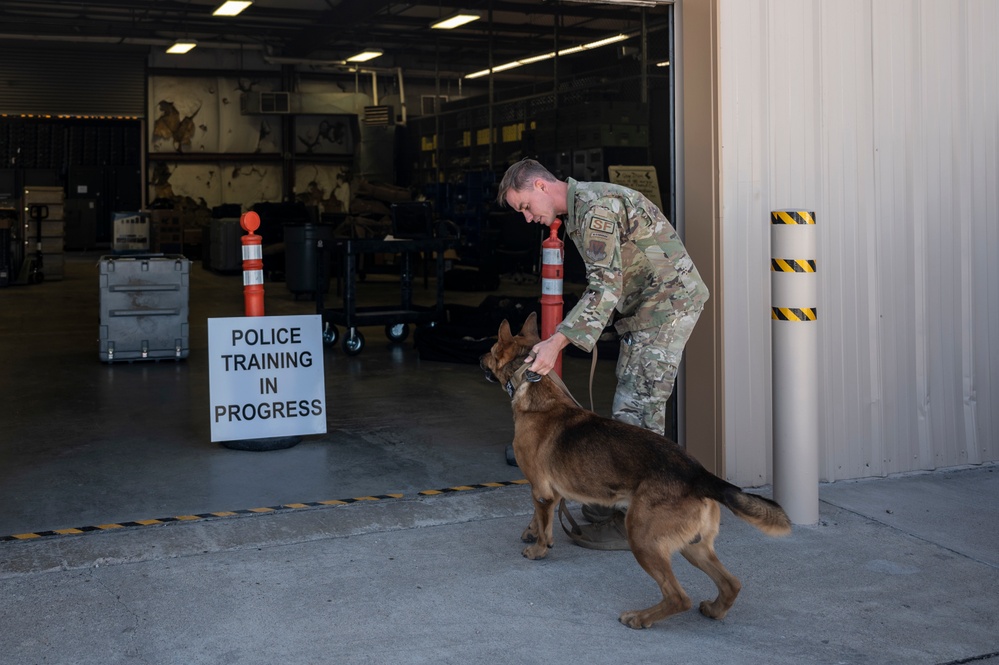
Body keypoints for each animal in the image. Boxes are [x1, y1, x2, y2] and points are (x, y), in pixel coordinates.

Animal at [480, 314, 792, 632]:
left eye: (491, 350)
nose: (479, 358)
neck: (536, 391)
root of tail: (698, 475)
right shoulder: (546, 492)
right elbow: (536, 515)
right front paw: (531, 532)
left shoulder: (541, 491)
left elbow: (543, 523)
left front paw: (539, 549)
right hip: (694, 546)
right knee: (731, 584)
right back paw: (714, 610)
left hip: (643, 538)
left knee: (679, 597)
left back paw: (639, 618)